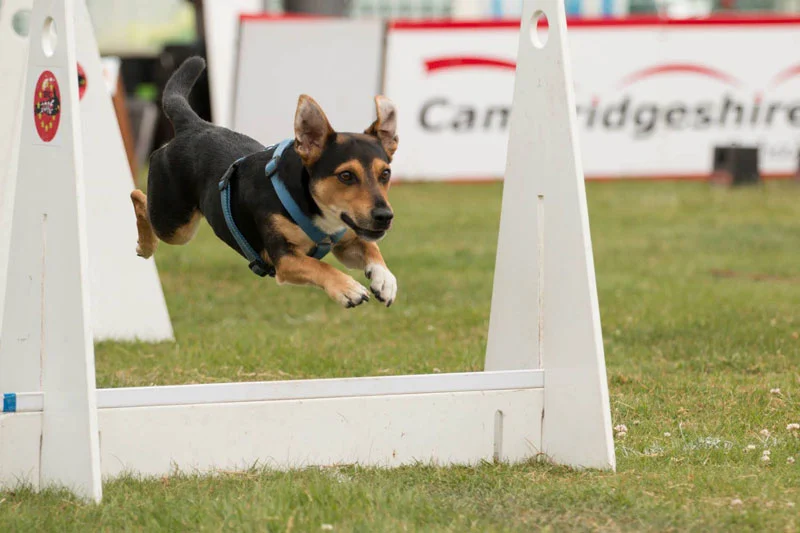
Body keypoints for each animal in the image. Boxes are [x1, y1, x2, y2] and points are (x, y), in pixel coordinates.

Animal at [130, 56, 400, 306]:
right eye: (346, 176)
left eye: (385, 173)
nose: (384, 216)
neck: (309, 203)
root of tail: (194, 124)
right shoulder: (284, 259)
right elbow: (320, 267)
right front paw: (347, 288)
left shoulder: (347, 242)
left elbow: (371, 248)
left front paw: (384, 279)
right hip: (175, 224)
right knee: (139, 197)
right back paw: (146, 245)